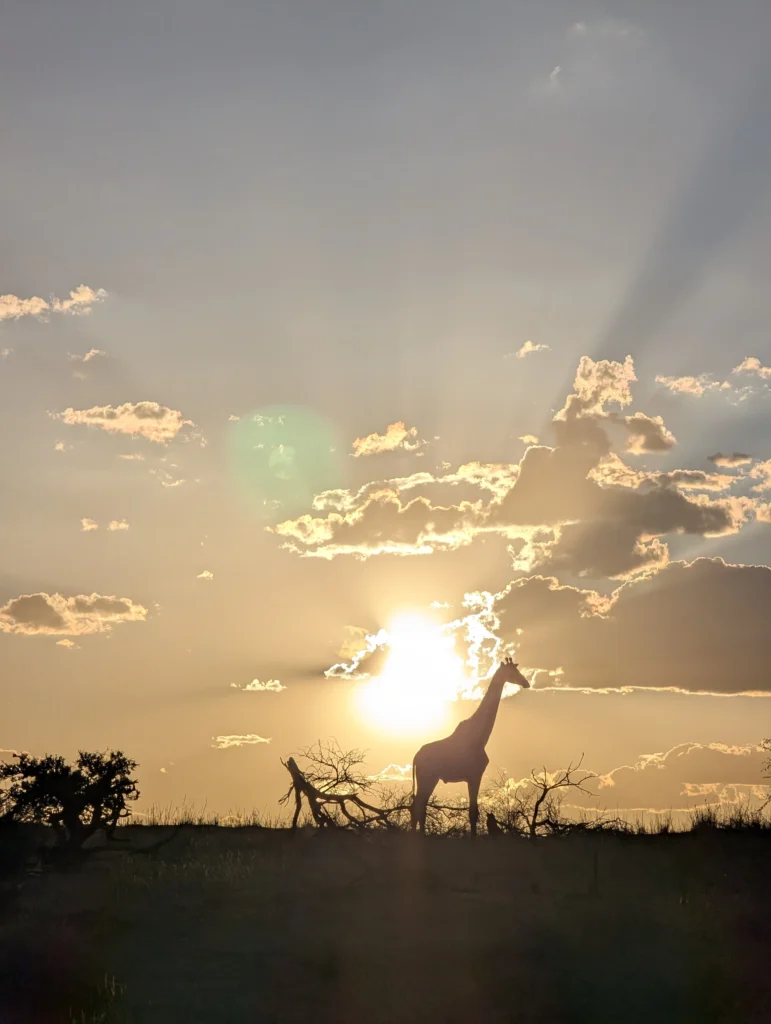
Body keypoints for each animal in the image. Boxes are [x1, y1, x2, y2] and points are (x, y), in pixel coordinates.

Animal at [410, 657, 530, 836]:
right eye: (511, 672)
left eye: (517, 670)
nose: (526, 683)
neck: (479, 738)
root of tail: (416, 757)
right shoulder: (475, 775)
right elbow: (473, 812)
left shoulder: (471, 776)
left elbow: (474, 811)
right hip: (427, 777)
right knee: (418, 806)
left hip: (430, 778)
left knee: (419, 806)